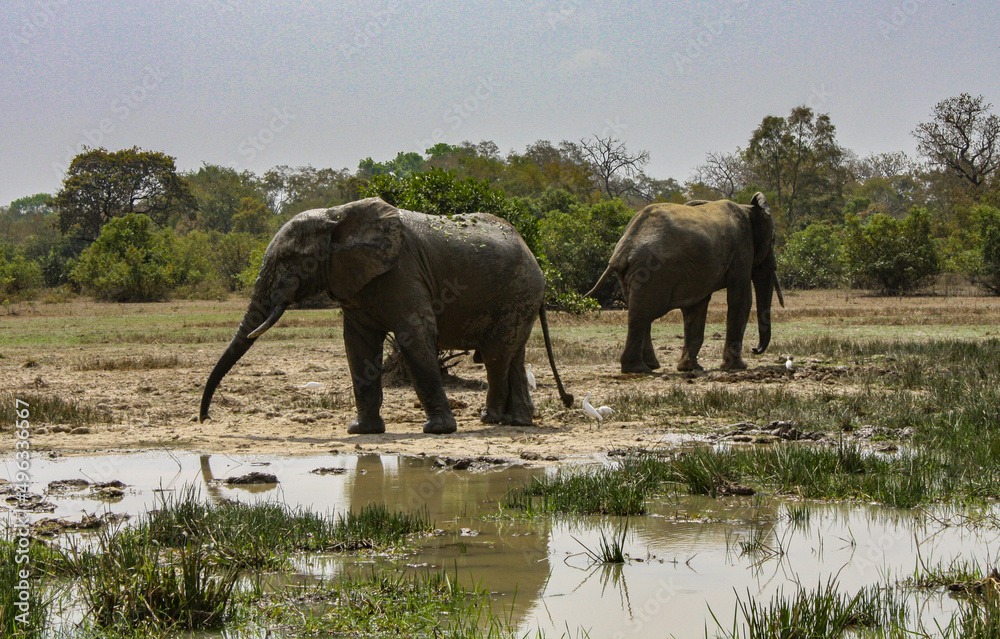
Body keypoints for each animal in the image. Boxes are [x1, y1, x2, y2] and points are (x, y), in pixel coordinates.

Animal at [200, 197, 574, 435]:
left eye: (290, 259)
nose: (205, 420)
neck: (339, 216)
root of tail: (532, 253)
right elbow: (358, 345)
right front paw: (361, 431)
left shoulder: (403, 271)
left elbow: (415, 336)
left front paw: (437, 431)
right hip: (519, 296)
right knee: (514, 354)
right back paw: (518, 422)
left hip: (518, 291)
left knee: (496, 354)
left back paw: (490, 419)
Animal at [586, 192, 784, 374]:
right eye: (773, 240)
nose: (755, 349)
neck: (748, 208)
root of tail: (625, 246)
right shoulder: (742, 249)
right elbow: (740, 300)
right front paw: (737, 367)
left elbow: (696, 307)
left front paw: (689, 368)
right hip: (652, 271)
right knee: (643, 313)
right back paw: (638, 369)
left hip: (634, 273)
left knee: (640, 311)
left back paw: (649, 366)